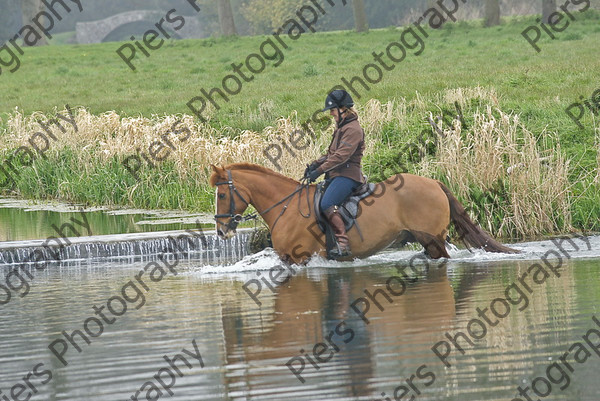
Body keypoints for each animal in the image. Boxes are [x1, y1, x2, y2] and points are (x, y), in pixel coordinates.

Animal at [210, 162, 516, 262]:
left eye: (222, 194)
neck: (286, 206)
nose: (221, 231)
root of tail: (434, 183)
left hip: (432, 240)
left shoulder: (299, 259)